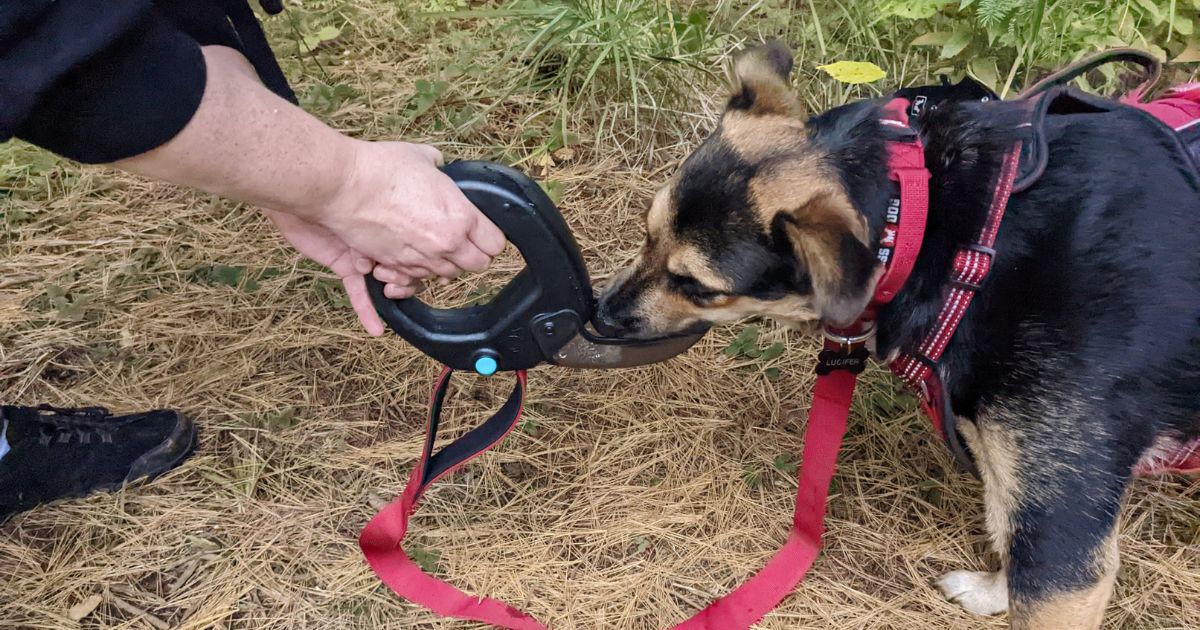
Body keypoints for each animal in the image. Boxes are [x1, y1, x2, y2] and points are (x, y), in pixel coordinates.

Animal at [597, 40, 1200, 628]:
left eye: (696, 286)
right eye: (647, 234)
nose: (600, 315)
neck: (948, 230)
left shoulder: (1062, 528)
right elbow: (1007, 526)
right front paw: (995, 591)